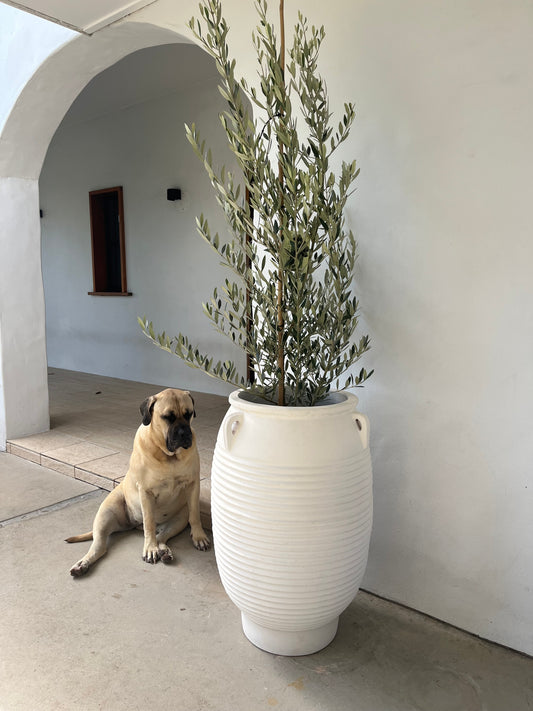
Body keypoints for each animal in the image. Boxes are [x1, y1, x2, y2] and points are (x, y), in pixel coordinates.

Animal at [65, 390, 209, 580]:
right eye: (167, 417)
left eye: (188, 414)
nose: (184, 433)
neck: (168, 456)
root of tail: (133, 524)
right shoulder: (146, 492)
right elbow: (149, 522)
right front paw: (150, 549)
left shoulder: (192, 485)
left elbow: (195, 515)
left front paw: (199, 536)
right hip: (105, 514)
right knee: (100, 546)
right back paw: (82, 564)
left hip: (179, 518)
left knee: (162, 536)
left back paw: (164, 551)